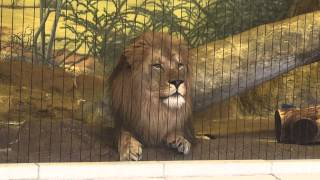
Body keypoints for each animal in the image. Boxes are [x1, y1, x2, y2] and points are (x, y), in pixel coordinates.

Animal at [110, 32, 195, 160]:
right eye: (157, 66)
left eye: (180, 65)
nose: (177, 81)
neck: (153, 106)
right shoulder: (122, 123)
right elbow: (124, 134)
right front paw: (129, 149)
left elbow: (174, 131)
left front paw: (180, 140)